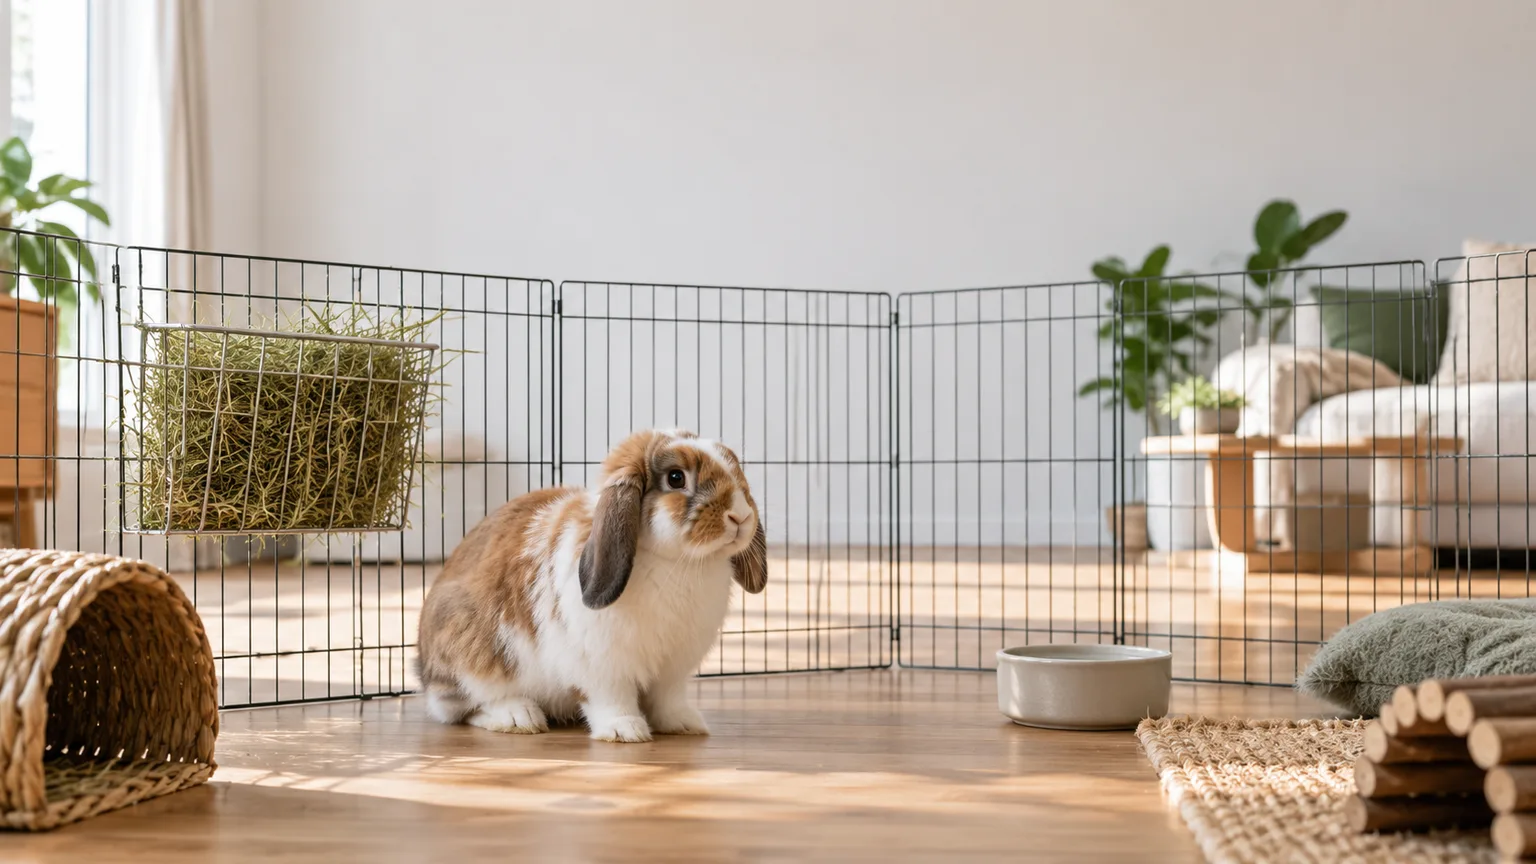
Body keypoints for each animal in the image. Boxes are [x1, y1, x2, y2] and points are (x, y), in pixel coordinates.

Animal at [416, 428, 768, 742]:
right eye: (676, 478)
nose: (740, 516)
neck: (678, 563)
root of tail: (423, 668)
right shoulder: (602, 664)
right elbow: (610, 698)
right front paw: (624, 730)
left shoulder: (673, 669)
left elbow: (668, 699)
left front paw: (683, 723)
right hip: (473, 654)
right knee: (462, 707)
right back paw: (519, 717)